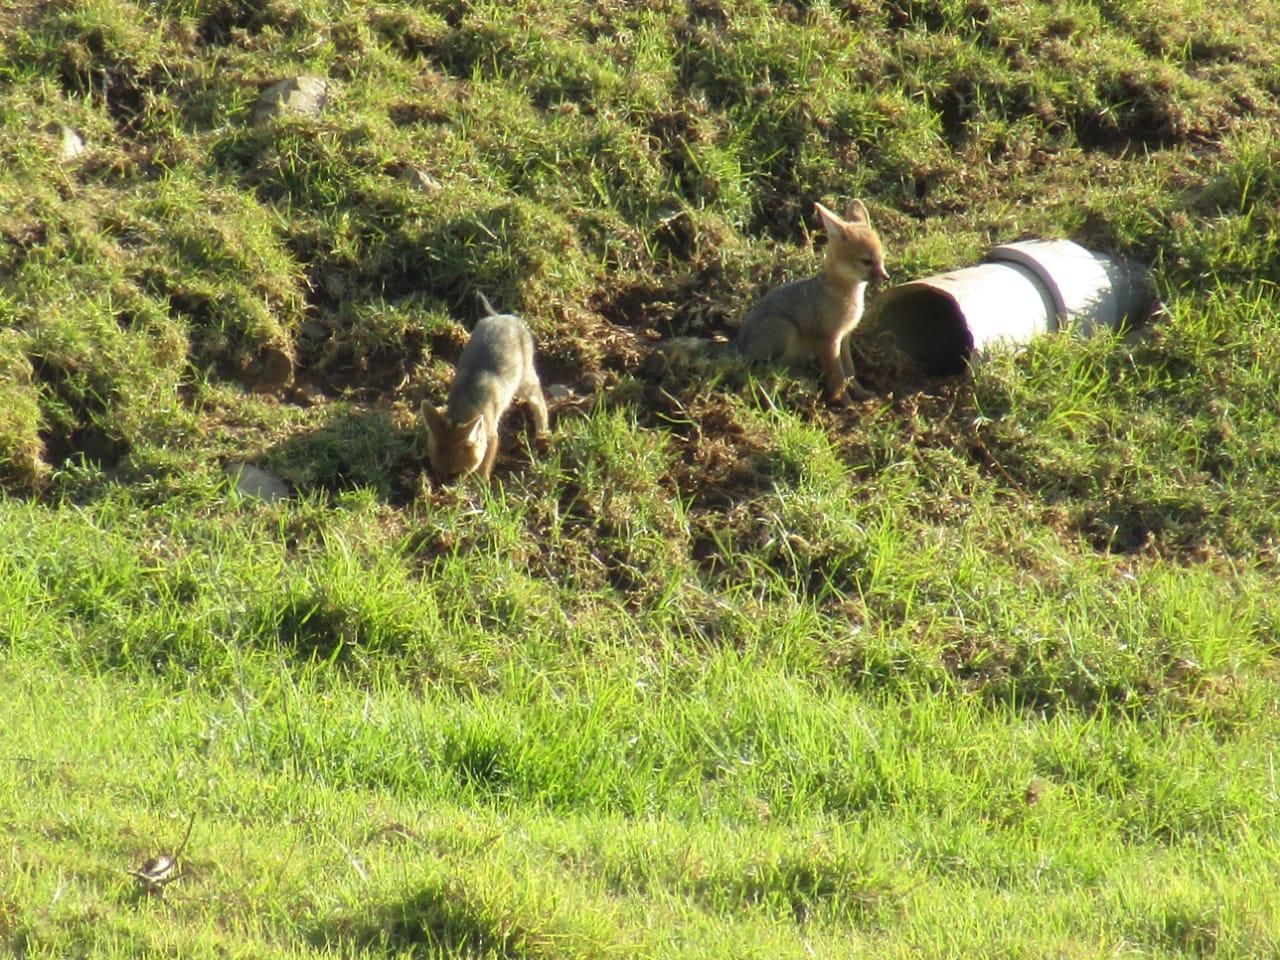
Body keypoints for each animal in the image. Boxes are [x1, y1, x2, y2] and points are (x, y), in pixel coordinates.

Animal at [421, 294, 550, 481]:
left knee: (540, 401)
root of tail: (499, 316)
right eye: (435, 471)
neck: (465, 403)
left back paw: (542, 434)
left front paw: (479, 486)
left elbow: (484, 469)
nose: (441, 487)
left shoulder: (492, 436)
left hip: (524, 383)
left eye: (454, 475)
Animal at [737, 199, 890, 402]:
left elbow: (850, 373)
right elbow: (838, 378)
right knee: (767, 368)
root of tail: (738, 343)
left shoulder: (844, 337)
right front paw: (847, 404)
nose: (886, 277)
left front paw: (861, 393)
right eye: (866, 261)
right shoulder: (829, 340)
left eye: (882, 258)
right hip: (787, 329)